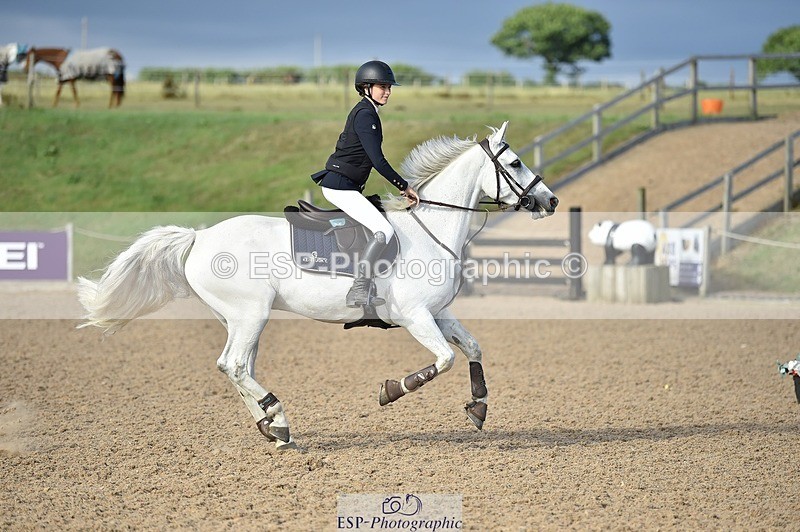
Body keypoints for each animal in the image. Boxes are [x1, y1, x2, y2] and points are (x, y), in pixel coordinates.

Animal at [77, 122, 559, 450]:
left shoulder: (439, 312)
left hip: (239, 318)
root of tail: (199, 237)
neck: (430, 229)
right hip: (251, 314)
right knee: (234, 365)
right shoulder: (415, 316)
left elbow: (473, 347)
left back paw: (272, 428)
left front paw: (478, 408)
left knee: (236, 367)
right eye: (515, 163)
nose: (550, 200)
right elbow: (443, 360)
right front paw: (390, 391)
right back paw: (278, 418)